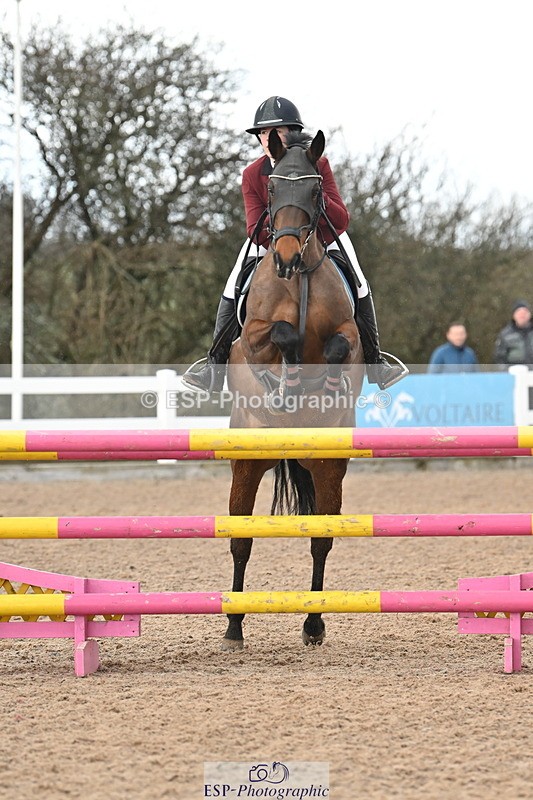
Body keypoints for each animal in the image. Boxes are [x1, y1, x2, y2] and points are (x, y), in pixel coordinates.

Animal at [222, 129, 365, 651]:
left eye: (315, 189)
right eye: (271, 188)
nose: (284, 259)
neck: (299, 278)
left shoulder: (349, 332)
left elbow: (340, 345)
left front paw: (324, 383)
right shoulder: (254, 336)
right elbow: (281, 336)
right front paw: (286, 384)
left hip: (327, 468)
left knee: (321, 540)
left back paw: (313, 623)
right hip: (246, 464)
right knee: (240, 541)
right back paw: (233, 626)